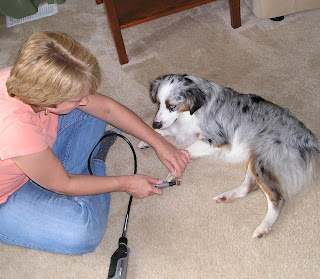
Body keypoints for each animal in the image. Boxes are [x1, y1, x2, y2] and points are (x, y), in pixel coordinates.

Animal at [139, 74, 318, 238]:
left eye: (172, 106)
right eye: (158, 103)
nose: (155, 123)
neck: (194, 110)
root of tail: (311, 141)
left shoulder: (214, 140)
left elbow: (186, 151)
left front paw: (173, 171)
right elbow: (168, 131)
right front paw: (147, 139)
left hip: (262, 159)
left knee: (277, 198)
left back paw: (263, 227)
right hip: (254, 157)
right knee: (248, 187)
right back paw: (226, 196)